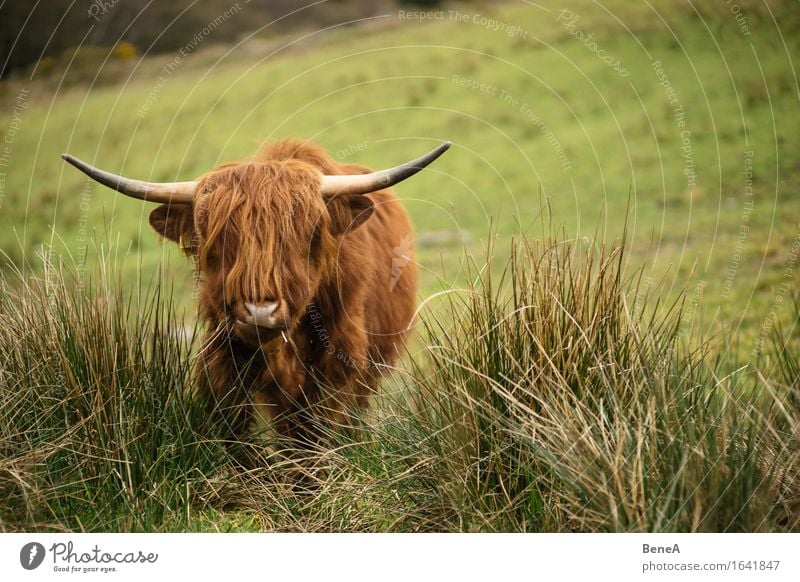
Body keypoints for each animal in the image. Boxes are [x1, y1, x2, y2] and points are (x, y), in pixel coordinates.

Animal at [62, 140, 450, 452]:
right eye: (216, 239)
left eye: (308, 233)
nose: (260, 310)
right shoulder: (223, 358)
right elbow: (237, 436)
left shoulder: (338, 361)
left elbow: (313, 437)